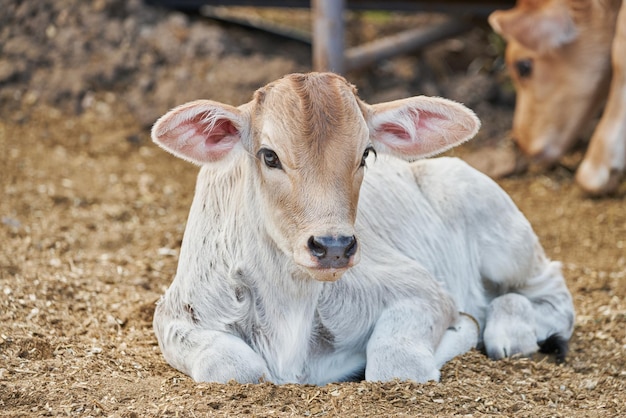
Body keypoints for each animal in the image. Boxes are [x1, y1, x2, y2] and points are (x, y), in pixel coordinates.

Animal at [149, 72, 572, 386]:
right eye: (269, 156)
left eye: (366, 154)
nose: (333, 245)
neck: (290, 299)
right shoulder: (176, 313)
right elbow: (234, 368)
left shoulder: (424, 290)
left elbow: (395, 365)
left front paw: (462, 329)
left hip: (498, 231)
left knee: (553, 293)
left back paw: (508, 329)